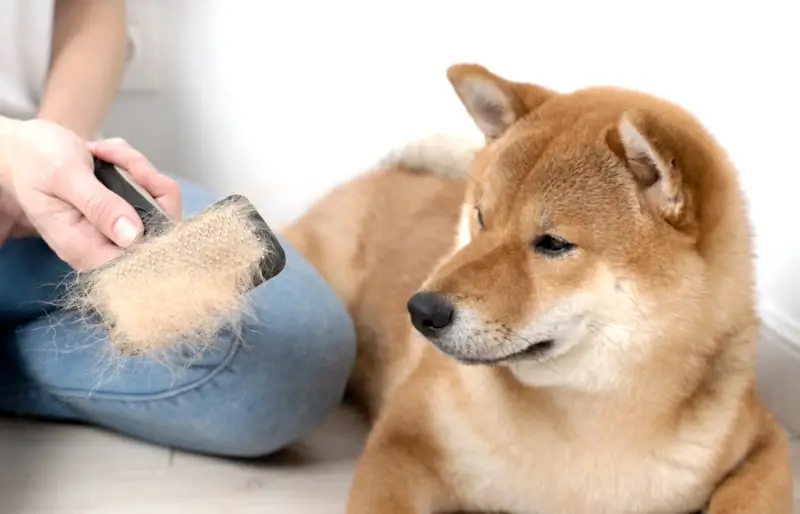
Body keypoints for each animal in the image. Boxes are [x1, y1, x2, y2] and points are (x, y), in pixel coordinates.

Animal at [282, 64, 792, 512]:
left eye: (552, 244)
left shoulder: (766, 444)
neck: (585, 423)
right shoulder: (402, 441)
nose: (421, 310)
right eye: (481, 217)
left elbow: (746, 500)